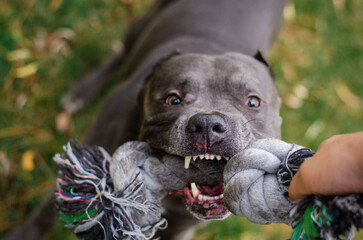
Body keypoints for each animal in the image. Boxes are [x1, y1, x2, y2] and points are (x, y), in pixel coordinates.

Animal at [4, 0, 288, 240]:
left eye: (253, 102)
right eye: (172, 99)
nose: (209, 125)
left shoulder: (178, 228)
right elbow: (52, 207)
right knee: (120, 54)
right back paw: (82, 92)